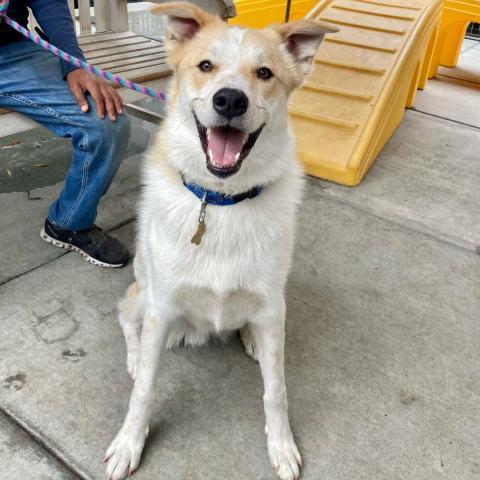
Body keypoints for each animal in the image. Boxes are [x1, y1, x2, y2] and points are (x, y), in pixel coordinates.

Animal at [104, 4, 338, 480]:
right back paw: (135, 357)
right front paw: (129, 443)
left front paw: (281, 445)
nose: (230, 100)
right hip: (144, 294)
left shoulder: (271, 305)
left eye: (264, 72)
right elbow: (145, 390)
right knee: (123, 314)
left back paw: (250, 338)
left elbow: (276, 390)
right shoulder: (161, 305)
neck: (222, 203)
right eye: (205, 66)